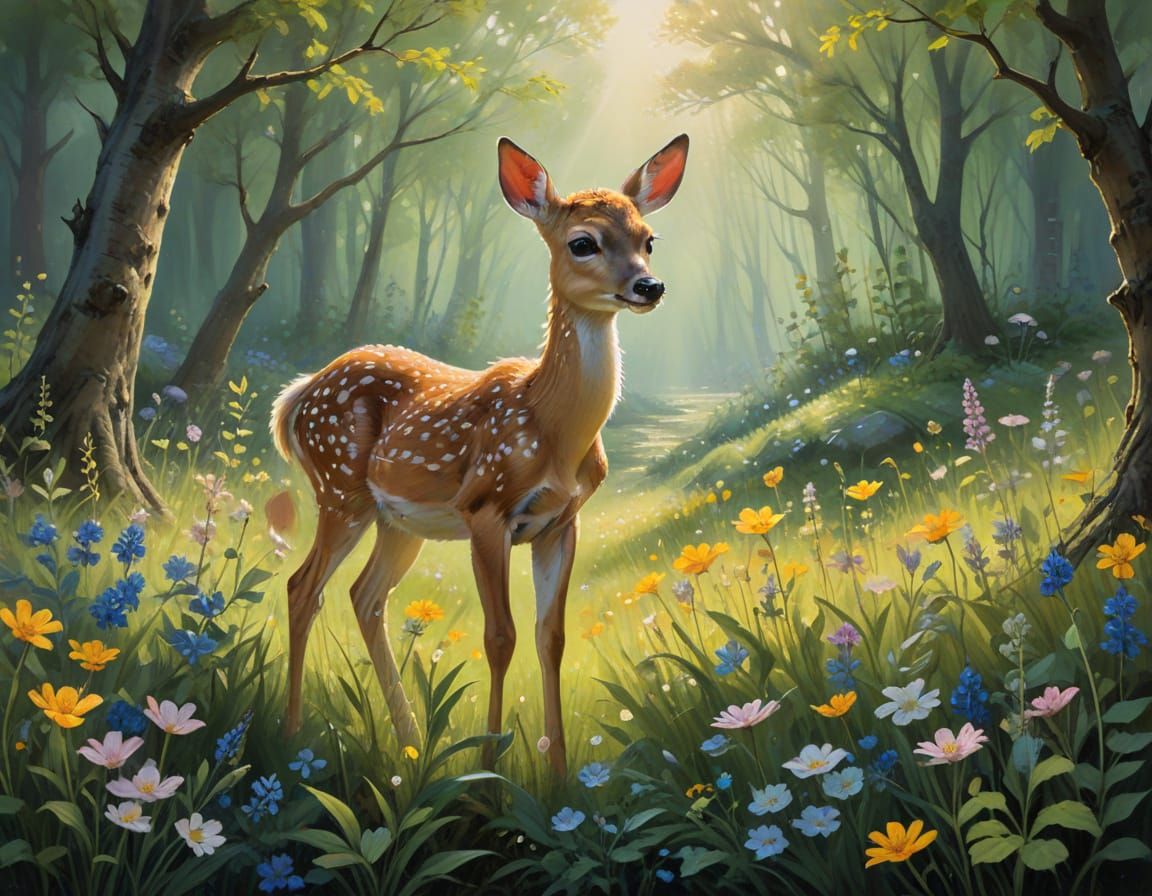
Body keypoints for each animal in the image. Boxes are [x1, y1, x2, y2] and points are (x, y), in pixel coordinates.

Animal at [270, 134, 689, 774]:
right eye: (583, 242)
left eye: (648, 239)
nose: (650, 286)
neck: (551, 427)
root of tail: (298, 395)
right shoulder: (485, 507)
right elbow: (500, 636)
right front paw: (490, 769)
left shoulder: (560, 522)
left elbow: (550, 637)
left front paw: (558, 773)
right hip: (339, 486)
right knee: (302, 588)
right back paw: (294, 735)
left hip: (398, 521)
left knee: (365, 597)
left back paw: (411, 741)